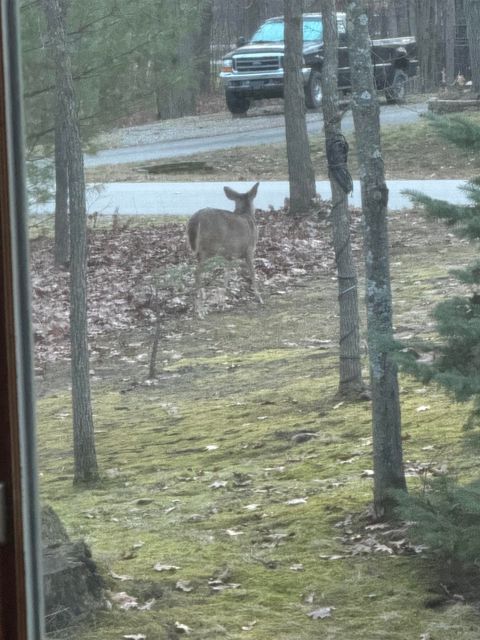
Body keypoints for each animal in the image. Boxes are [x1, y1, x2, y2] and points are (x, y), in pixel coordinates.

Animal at [188, 180, 262, 312]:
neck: (246, 214)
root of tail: (195, 220)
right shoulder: (249, 249)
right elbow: (253, 273)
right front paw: (259, 298)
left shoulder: (229, 256)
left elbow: (226, 276)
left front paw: (222, 302)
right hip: (208, 247)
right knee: (197, 272)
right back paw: (200, 308)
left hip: (201, 250)